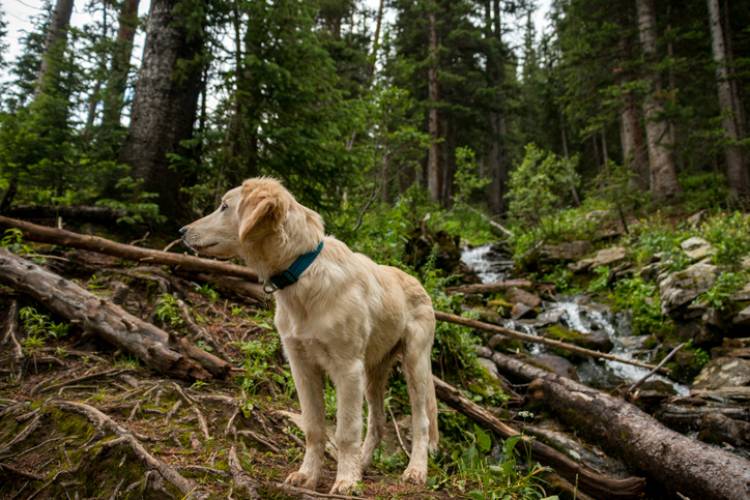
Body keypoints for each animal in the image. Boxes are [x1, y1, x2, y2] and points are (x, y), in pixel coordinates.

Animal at [182, 178, 440, 494]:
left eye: (224, 206)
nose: (182, 232)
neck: (302, 274)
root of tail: (418, 282)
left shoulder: (347, 369)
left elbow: (345, 431)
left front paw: (346, 480)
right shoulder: (301, 364)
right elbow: (314, 427)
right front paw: (309, 475)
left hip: (415, 362)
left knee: (421, 421)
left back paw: (415, 470)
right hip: (373, 371)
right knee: (378, 422)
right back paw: (364, 463)